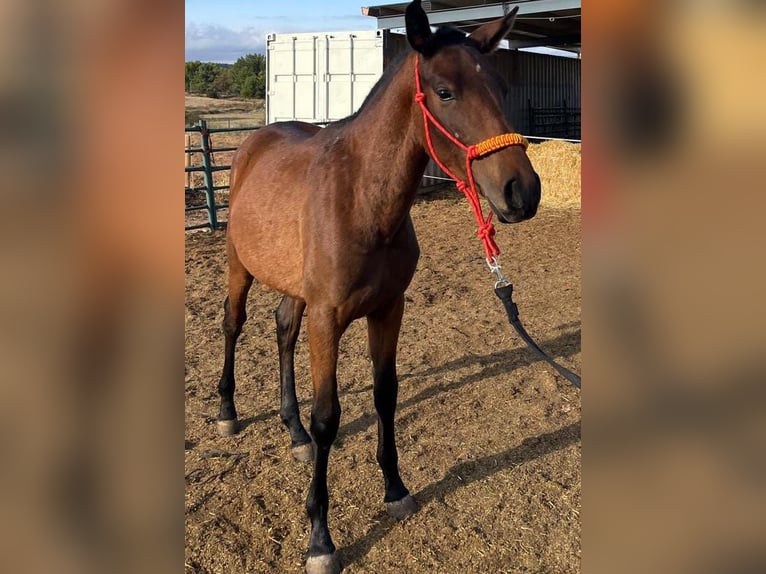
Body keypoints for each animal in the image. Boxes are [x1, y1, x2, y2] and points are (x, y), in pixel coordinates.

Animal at [217, 2, 540, 572]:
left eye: (501, 87)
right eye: (445, 91)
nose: (522, 191)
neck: (362, 200)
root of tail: (255, 141)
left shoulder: (389, 309)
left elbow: (385, 395)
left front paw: (395, 489)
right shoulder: (327, 317)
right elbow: (329, 417)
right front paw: (320, 539)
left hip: (294, 287)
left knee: (282, 330)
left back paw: (293, 432)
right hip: (241, 267)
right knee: (234, 325)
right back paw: (229, 414)